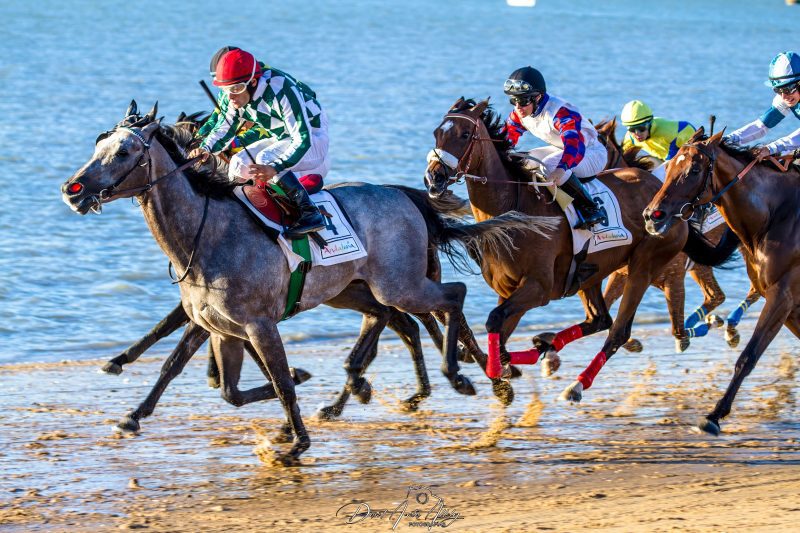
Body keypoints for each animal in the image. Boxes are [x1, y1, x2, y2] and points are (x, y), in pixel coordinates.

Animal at [61, 102, 551, 463]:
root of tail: (405, 195)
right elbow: (198, 376)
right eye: (99, 143)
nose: (73, 189)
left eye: (125, 152)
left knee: (451, 298)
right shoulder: (216, 326)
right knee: (398, 317)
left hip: (399, 283)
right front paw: (132, 413)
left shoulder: (258, 325)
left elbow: (277, 382)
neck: (207, 232)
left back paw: (465, 376)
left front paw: (295, 440)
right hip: (356, 290)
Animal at [424, 98, 739, 403]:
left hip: (643, 265)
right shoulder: (508, 289)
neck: (514, 209)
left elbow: (495, 322)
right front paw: (504, 368)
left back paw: (574, 384)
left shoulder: (538, 288)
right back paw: (544, 346)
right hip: (591, 274)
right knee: (599, 318)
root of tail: (669, 200)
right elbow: (499, 330)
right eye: (437, 132)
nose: (433, 178)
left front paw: (501, 373)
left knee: (617, 330)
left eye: (465, 134)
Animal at [596, 118, 759, 351]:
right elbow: (607, 313)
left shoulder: (673, 280)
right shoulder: (621, 275)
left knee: (754, 289)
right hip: (700, 266)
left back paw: (729, 326)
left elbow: (678, 333)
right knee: (716, 296)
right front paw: (633, 343)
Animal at [644, 127, 800, 436]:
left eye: (693, 170)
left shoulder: (782, 296)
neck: (775, 215)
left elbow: (747, 357)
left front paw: (714, 416)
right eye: (668, 167)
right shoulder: (786, 304)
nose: (653, 215)